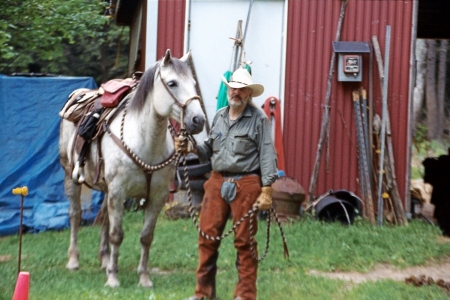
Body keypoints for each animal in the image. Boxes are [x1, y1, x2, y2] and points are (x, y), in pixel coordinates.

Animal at [59, 49, 207, 288]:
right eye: (172, 83)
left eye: (194, 83)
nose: (198, 120)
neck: (145, 142)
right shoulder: (118, 191)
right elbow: (117, 234)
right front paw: (113, 278)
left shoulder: (156, 196)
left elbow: (146, 236)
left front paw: (144, 278)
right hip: (71, 177)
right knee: (75, 215)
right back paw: (74, 260)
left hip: (107, 189)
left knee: (104, 218)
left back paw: (104, 260)